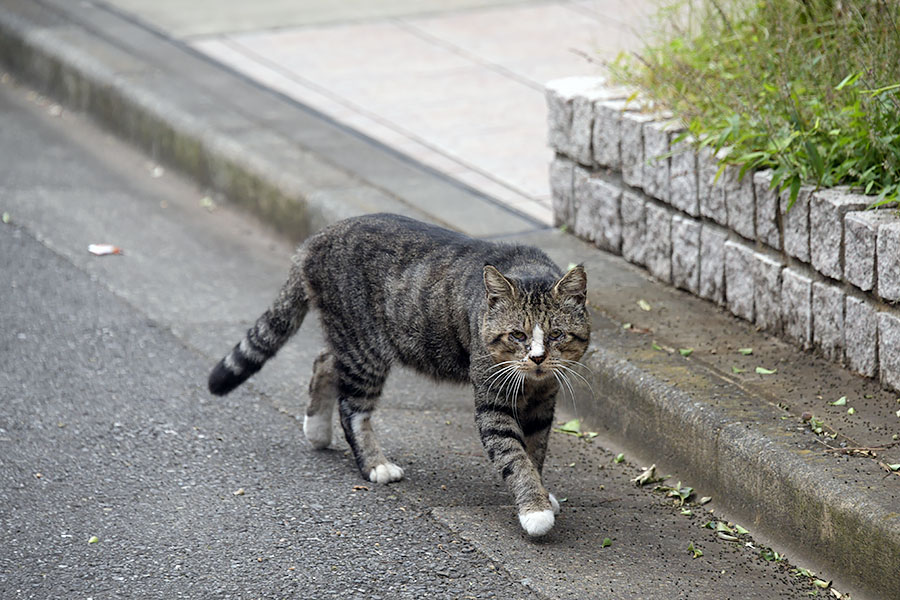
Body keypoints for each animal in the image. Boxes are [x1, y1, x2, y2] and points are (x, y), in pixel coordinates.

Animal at [210, 213, 592, 536]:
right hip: (364, 348)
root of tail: (317, 237)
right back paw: (374, 464)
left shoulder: (544, 401)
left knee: (324, 360)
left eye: (557, 335)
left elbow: (535, 450)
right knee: (351, 408)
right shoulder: (492, 400)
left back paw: (316, 429)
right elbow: (514, 456)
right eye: (517, 335)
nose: (538, 358)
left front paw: (541, 493)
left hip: (352, 343)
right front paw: (534, 509)